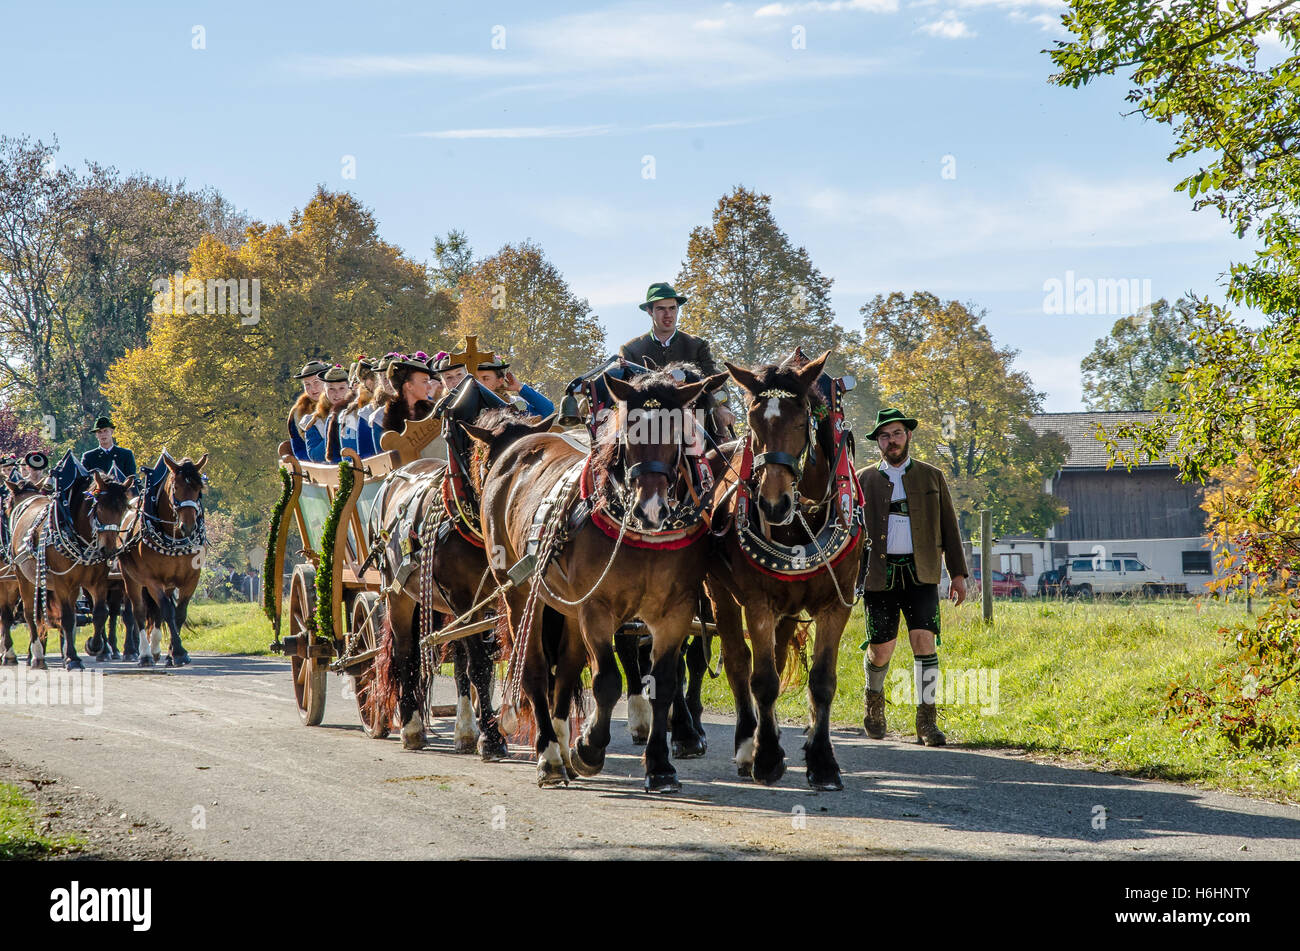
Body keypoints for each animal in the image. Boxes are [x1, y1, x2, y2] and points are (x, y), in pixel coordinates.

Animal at [10, 465, 134, 670]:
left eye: (123, 508)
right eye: (100, 507)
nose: (108, 550)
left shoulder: (97, 582)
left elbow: (100, 614)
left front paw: (94, 646)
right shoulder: (62, 583)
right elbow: (67, 618)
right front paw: (73, 659)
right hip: (24, 578)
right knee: (30, 614)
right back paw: (36, 656)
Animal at [117, 454, 208, 670]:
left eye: (199, 489)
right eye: (175, 487)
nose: (188, 526)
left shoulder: (191, 578)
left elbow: (179, 613)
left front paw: (174, 653)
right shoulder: (152, 580)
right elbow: (167, 611)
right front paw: (180, 653)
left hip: (168, 583)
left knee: (157, 612)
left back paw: (157, 650)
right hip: (130, 579)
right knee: (138, 612)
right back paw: (143, 654)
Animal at [475, 368, 722, 789]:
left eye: (677, 432)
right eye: (627, 435)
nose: (650, 508)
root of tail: (517, 446)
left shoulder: (675, 611)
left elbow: (663, 684)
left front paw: (660, 765)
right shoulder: (597, 609)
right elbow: (606, 681)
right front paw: (589, 748)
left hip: (567, 607)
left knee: (566, 668)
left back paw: (561, 743)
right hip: (522, 595)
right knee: (537, 670)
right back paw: (549, 756)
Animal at [702, 353, 863, 789]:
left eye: (800, 419)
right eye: (753, 423)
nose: (773, 504)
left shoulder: (836, 604)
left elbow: (822, 682)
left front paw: (822, 762)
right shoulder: (757, 603)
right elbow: (762, 680)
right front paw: (767, 757)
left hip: (788, 611)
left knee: (773, 652)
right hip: (719, 594)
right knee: (739, 662)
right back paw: (747, 743)